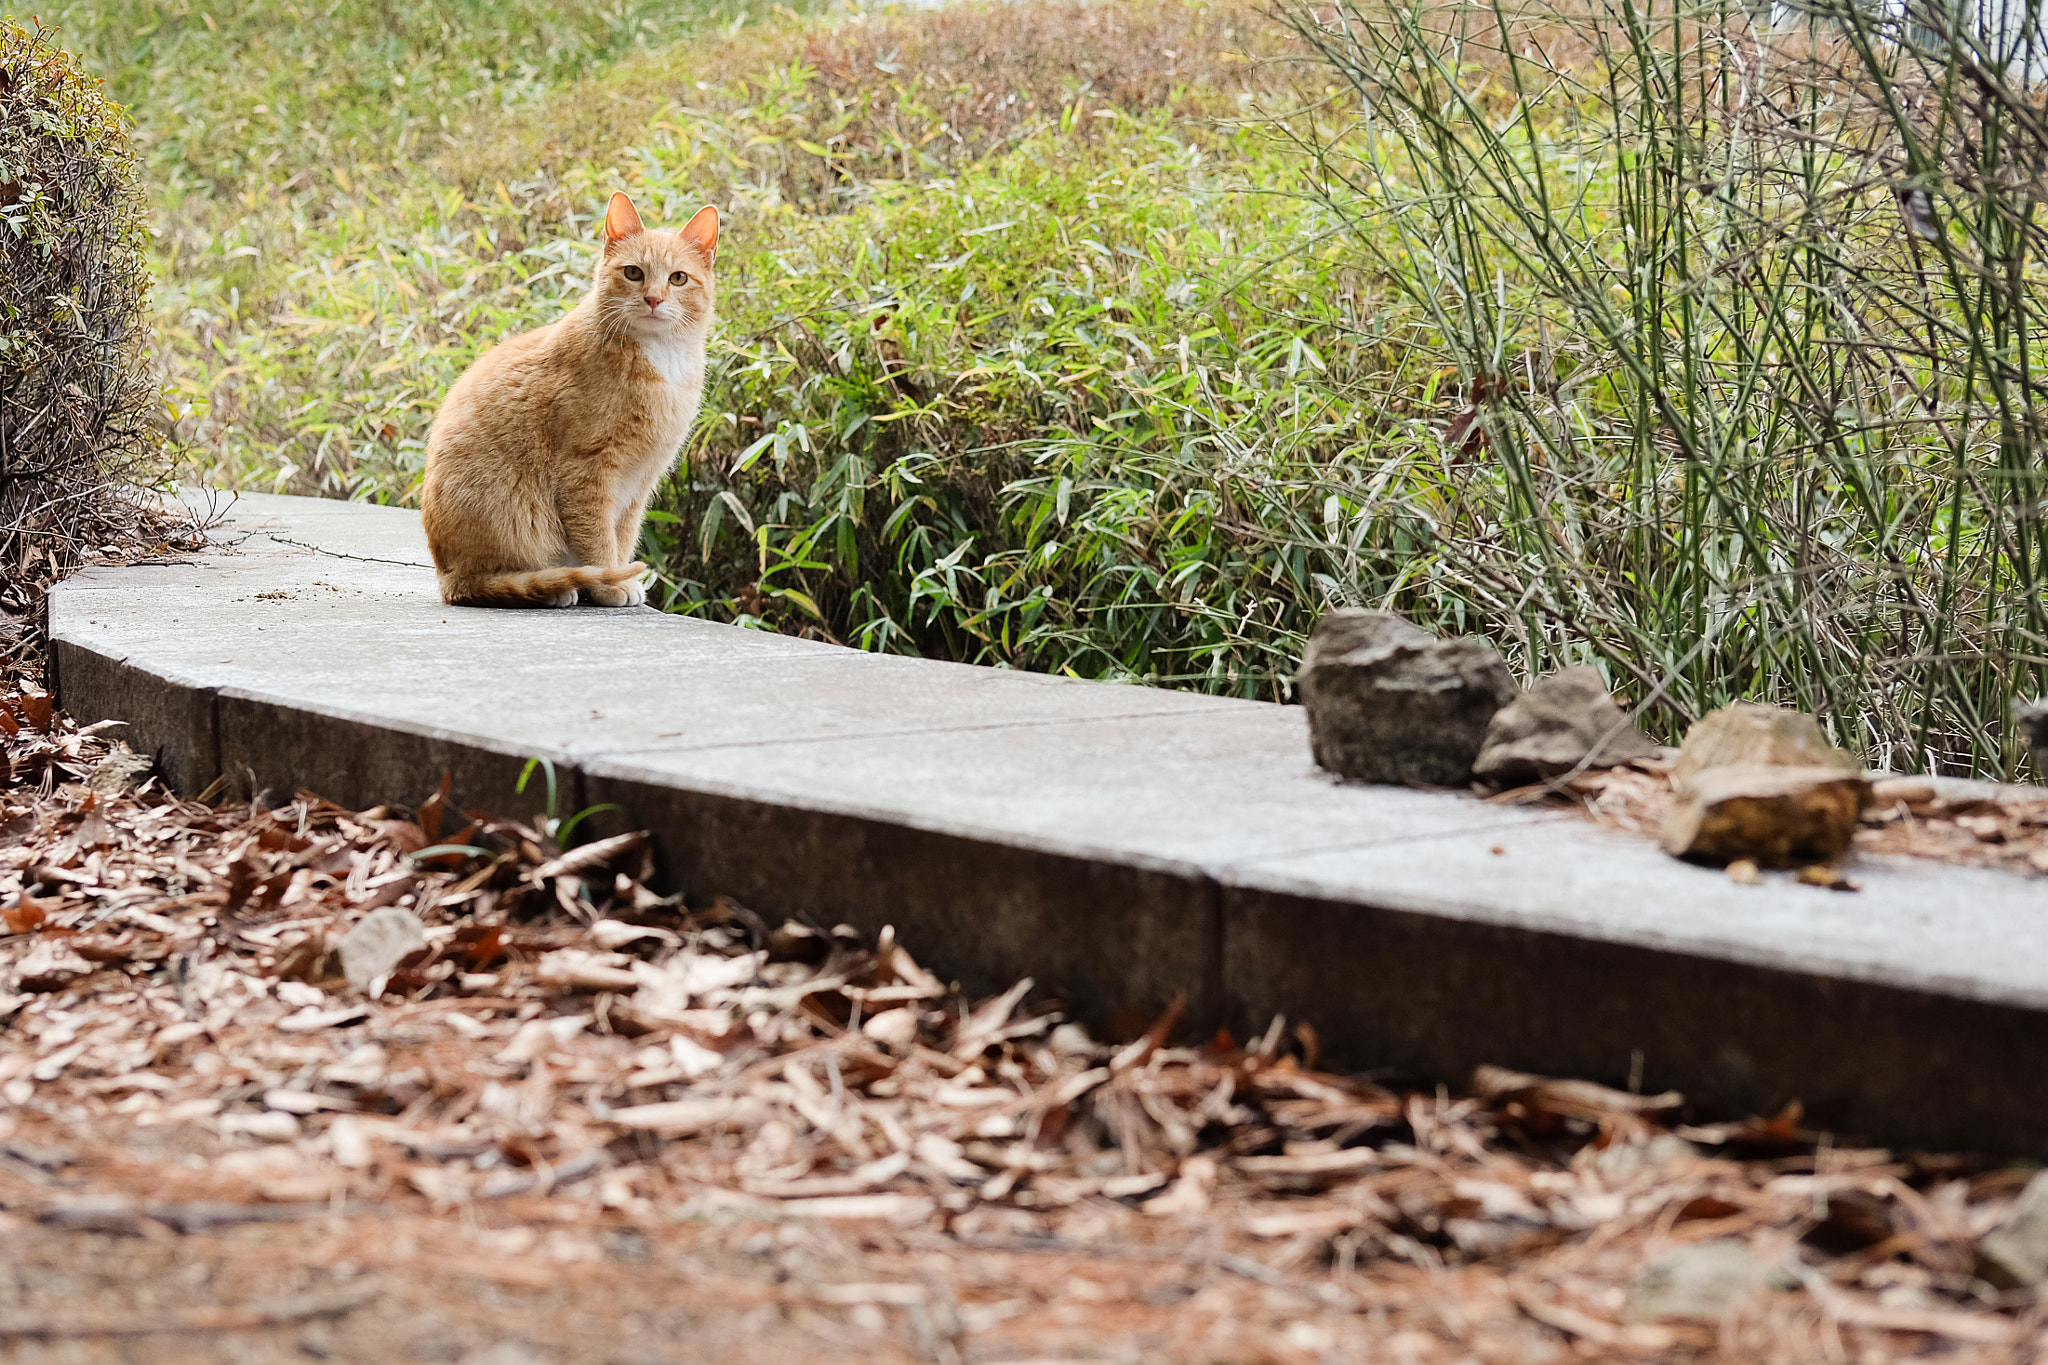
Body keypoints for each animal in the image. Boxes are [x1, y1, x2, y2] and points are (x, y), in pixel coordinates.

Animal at [419, 189, 724, 605]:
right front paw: (610, 583)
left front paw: (615, 579)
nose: (653, 299)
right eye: (634, 273)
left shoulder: (641, 479)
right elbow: (598, 538)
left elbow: (622, 536)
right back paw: (549, 587)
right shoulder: (587, 472)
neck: (662, 358)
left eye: (678, 278)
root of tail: (445, 576)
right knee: (491, 582)